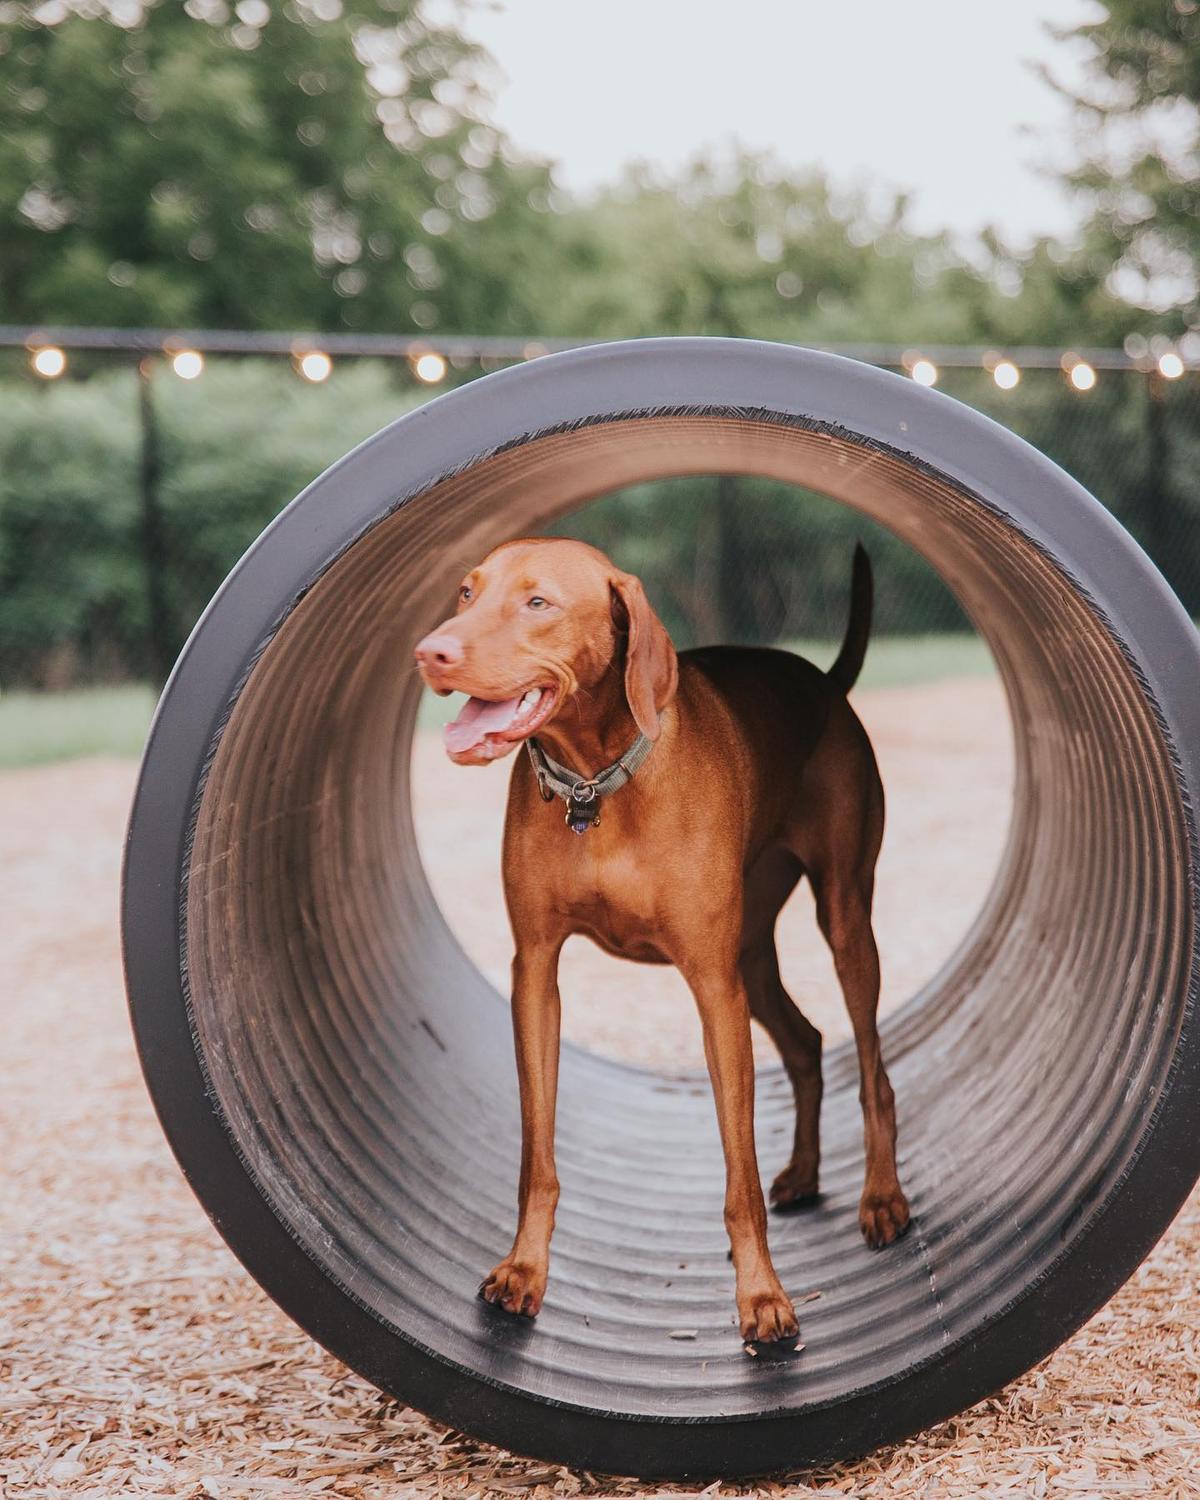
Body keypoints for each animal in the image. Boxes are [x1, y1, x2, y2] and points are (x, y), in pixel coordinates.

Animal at [417, 537, 906, 1338]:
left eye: (538, 602)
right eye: (466, 592)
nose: (432, 652)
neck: (595, 786)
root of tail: (822, 681)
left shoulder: (712, 986)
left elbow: (738, 1174)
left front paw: (762, 1297)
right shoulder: (536, 975)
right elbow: (536, 1157)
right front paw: (523, 1270)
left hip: (843, 921)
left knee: (873, 1072)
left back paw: (883, 1198)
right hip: (752, 955)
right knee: (806, 1043)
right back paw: (806, 1175)